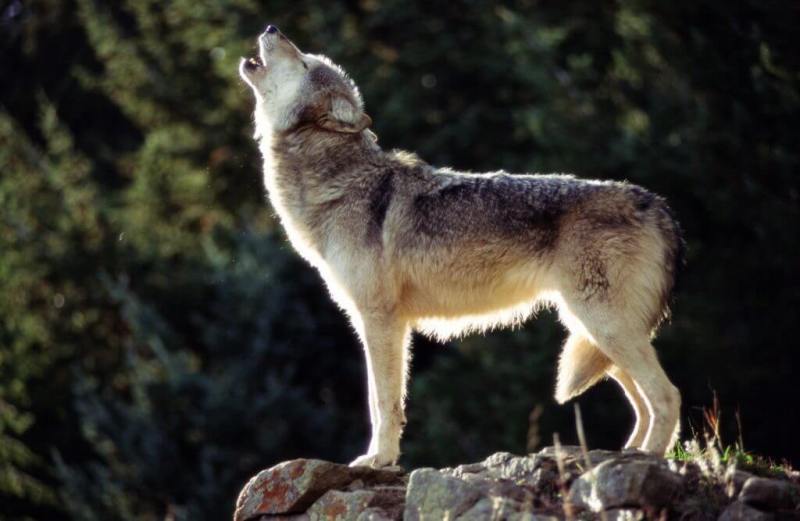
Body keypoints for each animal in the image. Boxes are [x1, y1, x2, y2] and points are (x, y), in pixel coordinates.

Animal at [239, 25, 684, 468]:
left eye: (303, 62)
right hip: (592, 332)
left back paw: (650, 458)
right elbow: (384, 401)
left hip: (603, 326)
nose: (271, 28)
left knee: (668, 395)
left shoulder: (380, 319)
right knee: (644, 402)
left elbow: (382, 402)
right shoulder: (381, 321)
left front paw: (379, 459)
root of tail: (660, 205)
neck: (342, 182)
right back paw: (629, 454)